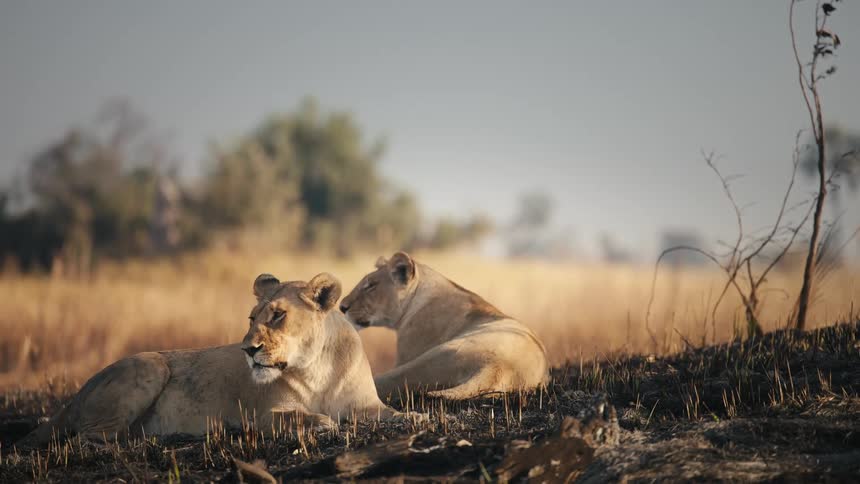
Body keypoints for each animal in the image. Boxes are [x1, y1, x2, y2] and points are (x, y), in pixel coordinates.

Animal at [20, 272, 398, 447]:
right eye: (252, 318)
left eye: (278, 316)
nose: (248, 349)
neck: (318, 368)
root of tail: (75, 395)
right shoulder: (262, 415)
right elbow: (308, 418)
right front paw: (323, 423)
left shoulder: (367, 404)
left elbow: (395, 415)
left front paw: (408, 417)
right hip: (150, 366)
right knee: (86, 437)